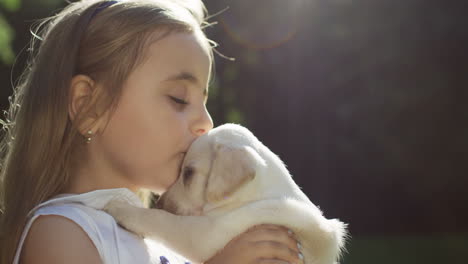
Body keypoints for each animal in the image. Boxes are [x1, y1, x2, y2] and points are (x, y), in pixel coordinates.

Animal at [105, 124, 348, 264]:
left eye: (188, 173)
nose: (160, 203)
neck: (253, 197)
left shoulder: (204, 235)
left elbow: (160, 220)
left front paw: (120, 207)